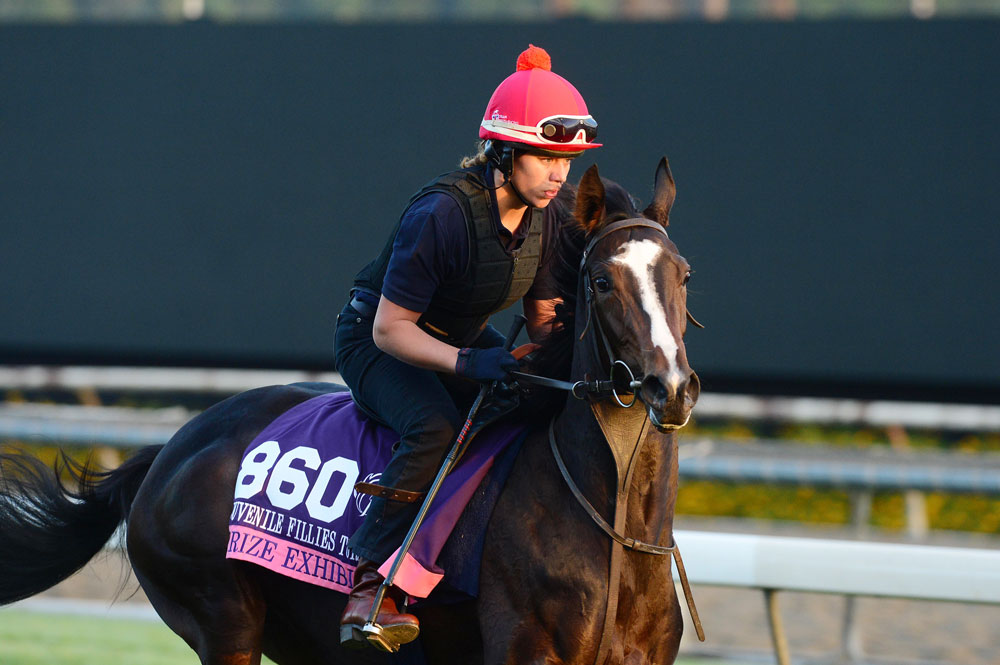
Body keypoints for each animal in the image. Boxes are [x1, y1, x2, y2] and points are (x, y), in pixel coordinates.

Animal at [0, 160, 700, 664]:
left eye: (683, 274)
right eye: (602, 282)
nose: (672, 387)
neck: (613, 530)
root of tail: (167, 453)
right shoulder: (526, 651)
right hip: (223, 619)